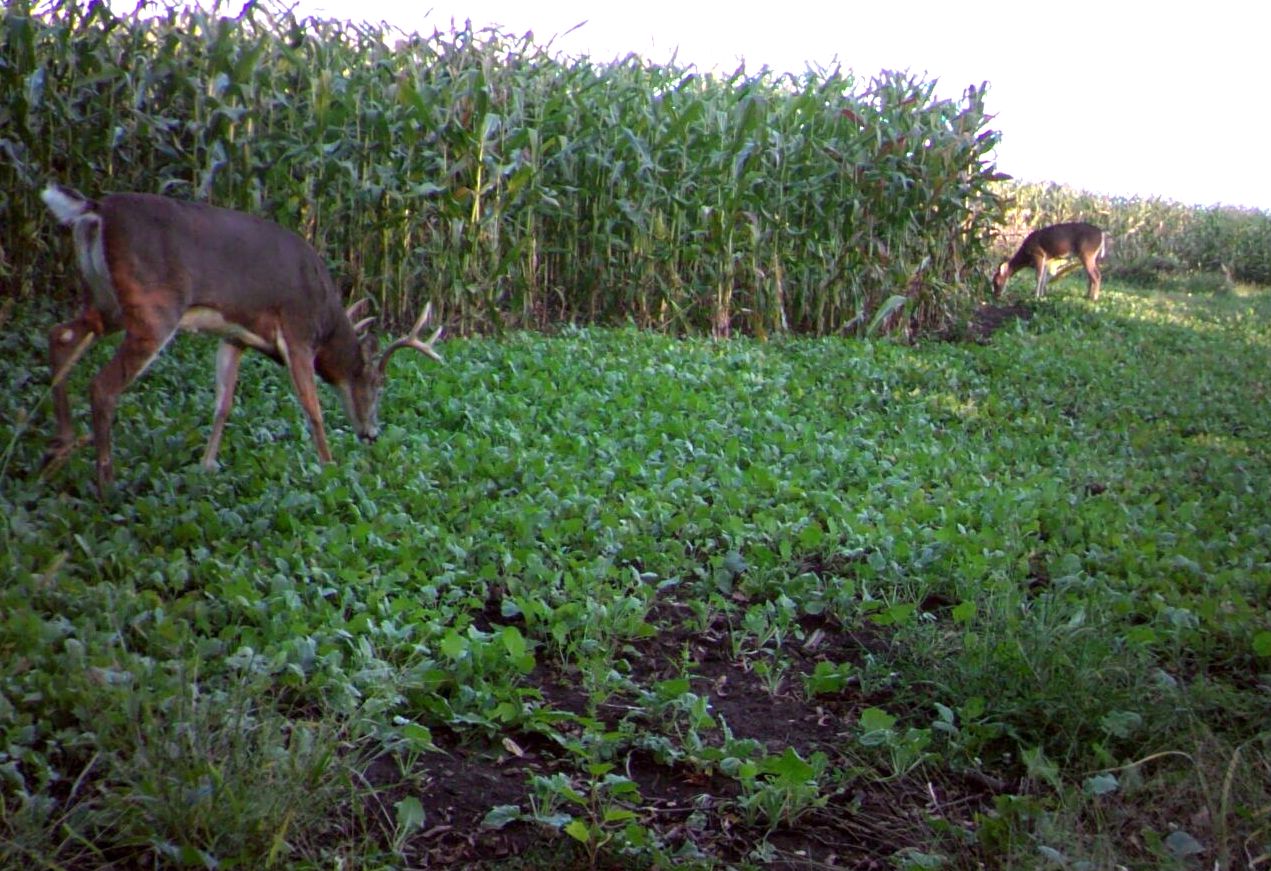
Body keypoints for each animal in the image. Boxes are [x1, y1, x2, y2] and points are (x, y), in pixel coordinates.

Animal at [39, 181, 444, 495]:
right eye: (378, 385)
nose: (372, 434)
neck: (326, 319)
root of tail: (96, 210)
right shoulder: (297, 331)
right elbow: (312, 408)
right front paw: (330, 468)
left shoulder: (235, 337)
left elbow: (223, 403)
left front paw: (206, 465)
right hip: (153, 307)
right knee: (102, 386)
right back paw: (105, 482)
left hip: (107, 302)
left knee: (61, 333)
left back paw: (61, 445)